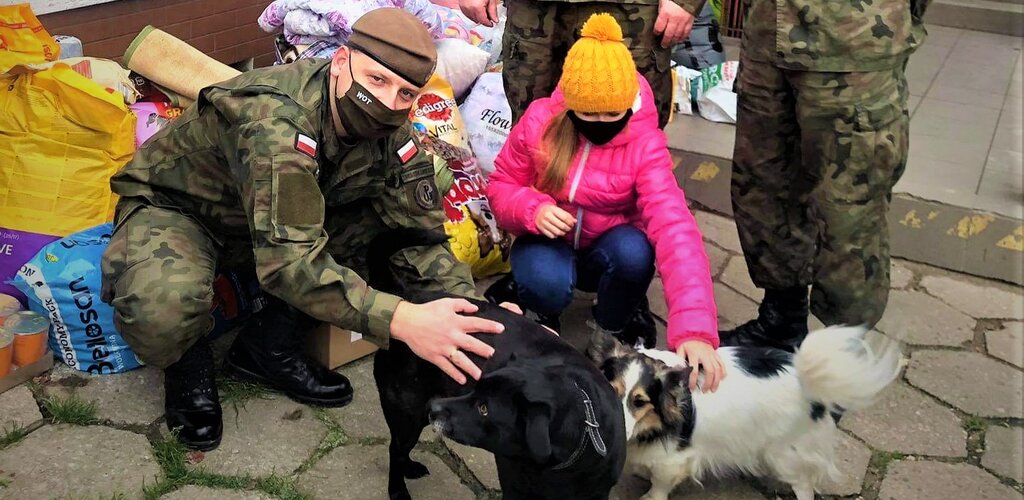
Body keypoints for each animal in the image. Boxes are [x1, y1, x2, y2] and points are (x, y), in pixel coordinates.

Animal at [368, 228, 622, 497]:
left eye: (484, 408)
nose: (433, 407)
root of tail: (407, 297)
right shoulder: (514, 485)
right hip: (407, 415)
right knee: (395, 449)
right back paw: (398, 489)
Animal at [589, 323, 901, 500]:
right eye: (610, 389)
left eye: (640, 402)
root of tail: (808, 381)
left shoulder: (676, 461)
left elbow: (661, 484)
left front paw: (651, 495)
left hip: (784, 454)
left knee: (804, 487)